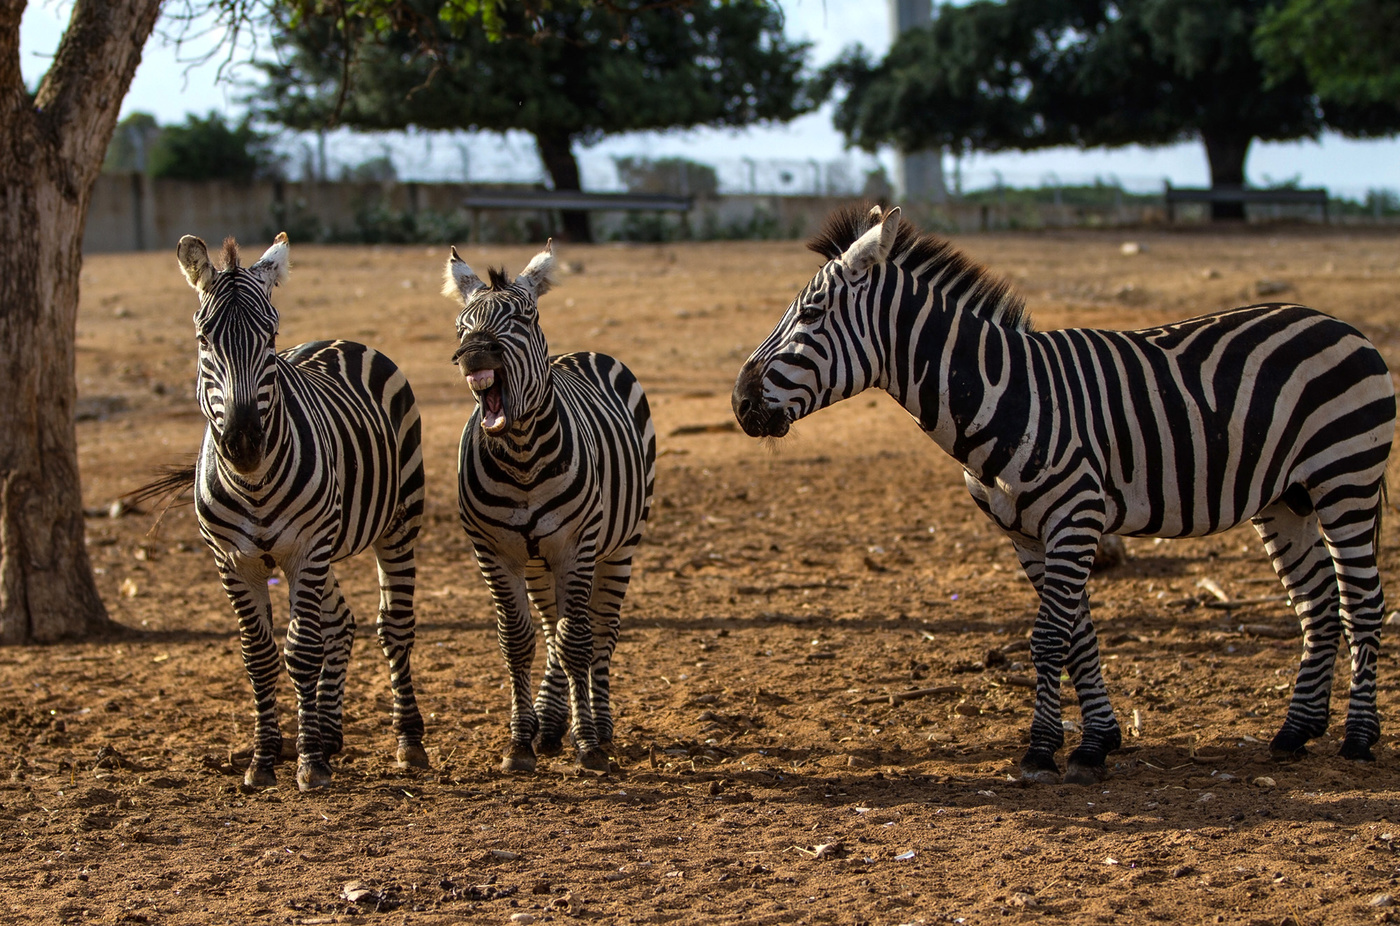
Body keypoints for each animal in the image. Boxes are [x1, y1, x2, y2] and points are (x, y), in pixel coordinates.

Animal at [165, 231, 425, 790]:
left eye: (269, 337)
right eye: (203, 340)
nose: (243, 441)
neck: (253, 483)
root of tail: (339, 340)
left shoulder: (306, 547)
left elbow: (301, 651)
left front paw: (308, 763)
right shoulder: (233, 561)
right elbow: (260, 657)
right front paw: (265, 759)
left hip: (395, 524)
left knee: (392, 628)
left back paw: (408, 741)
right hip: (315, 550)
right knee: (340, 622)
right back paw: (328, 733)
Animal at [445, 239, 658, 773]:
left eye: (524, 317)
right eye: (461, 324)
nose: (473, 354)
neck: (522, 457)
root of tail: (583, 352)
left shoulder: (576, 545)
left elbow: (578, 642)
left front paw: (588, 745)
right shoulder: (492, 551)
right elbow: (519, 641)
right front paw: (522, 741)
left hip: (619, 546)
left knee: (599, 630)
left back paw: (600, 726)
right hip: (538, 561)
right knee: (551, 624)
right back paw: (550, 724)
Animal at [733, 205, 1388, 784]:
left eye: (812, 312)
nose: (739, 403)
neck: (1003, 396)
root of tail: (1340, 324)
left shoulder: (1076, 516)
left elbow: (1050, 638)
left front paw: (1044, 751)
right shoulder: (1024, 534)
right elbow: (1078, 637)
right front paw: (1097, 742)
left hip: (1346, 481)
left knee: (1362, 604)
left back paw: (1358, 739)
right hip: (1285, 500)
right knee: (1318, 605)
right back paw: (1296, 732)